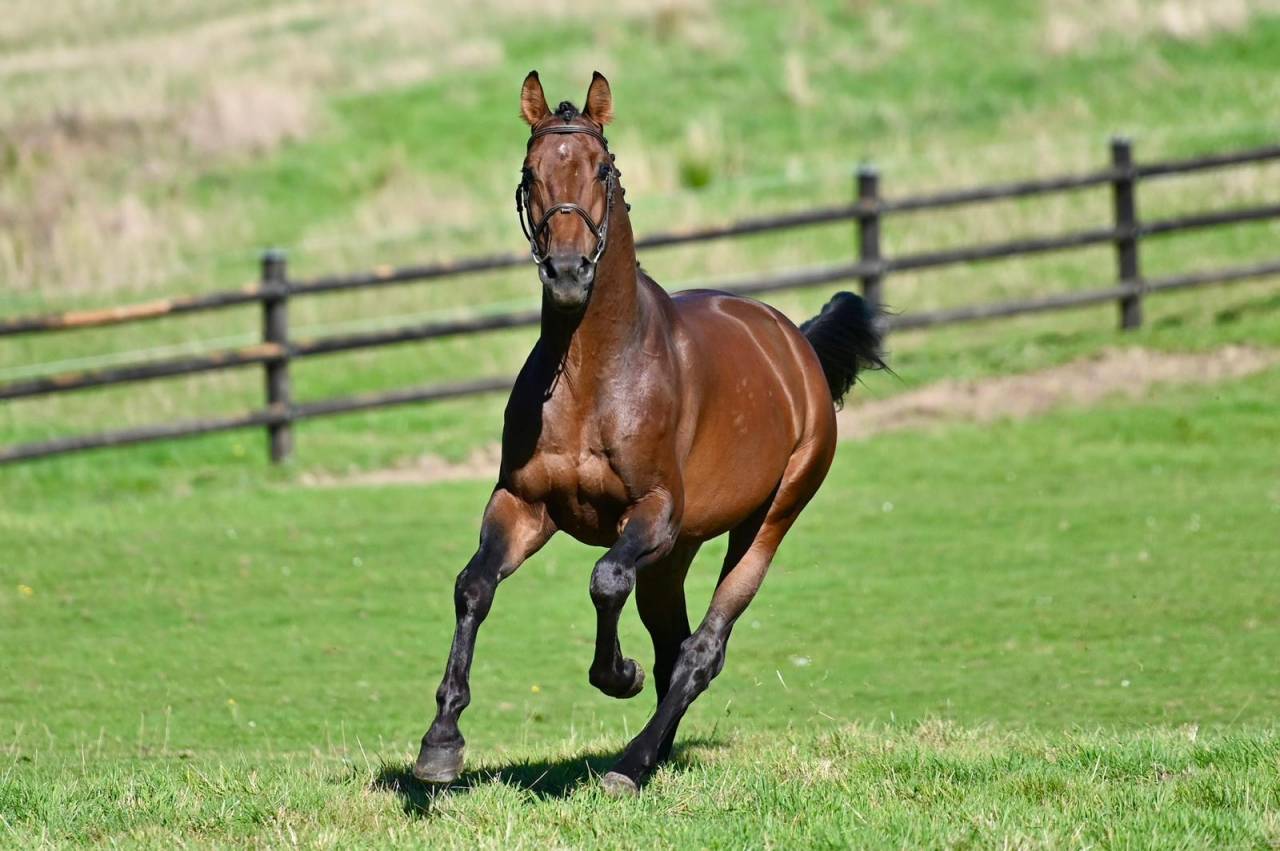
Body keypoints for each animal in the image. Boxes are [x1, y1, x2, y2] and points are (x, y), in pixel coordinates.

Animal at [414, 71, 885, 795]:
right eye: (530, 172)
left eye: (603, 169)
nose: (568, 271)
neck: (591, 379)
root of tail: (797, 346)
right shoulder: (524, 505)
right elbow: (474, 585)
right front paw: (441, 743)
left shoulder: (653, 513)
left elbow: (606, 579)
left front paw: (617, 674)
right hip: (675, 555)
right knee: (674, 645)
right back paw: (653, 753)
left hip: (763, 525)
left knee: (700, 650)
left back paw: (631, 765)